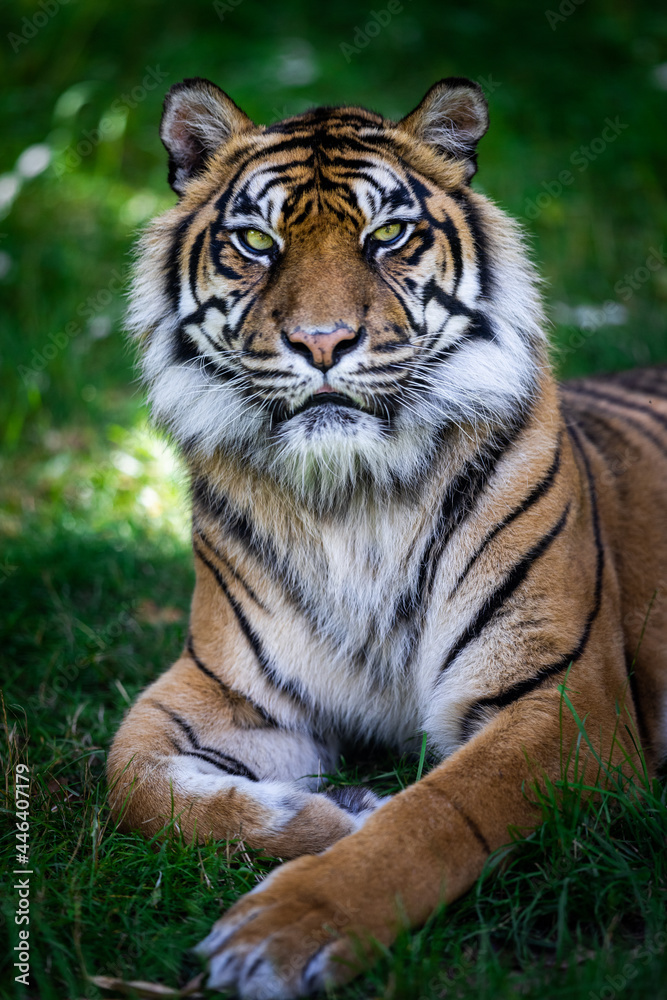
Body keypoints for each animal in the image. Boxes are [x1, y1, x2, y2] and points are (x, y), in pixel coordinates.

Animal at [107, 75, 667, 999]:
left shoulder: (560, 701)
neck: (353, 499)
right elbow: (132, 783)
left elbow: (438, 811)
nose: (322, 342)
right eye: (256, 242)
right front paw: (333, 813)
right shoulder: (225, 691)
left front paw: (280, 933)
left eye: (387, 235)